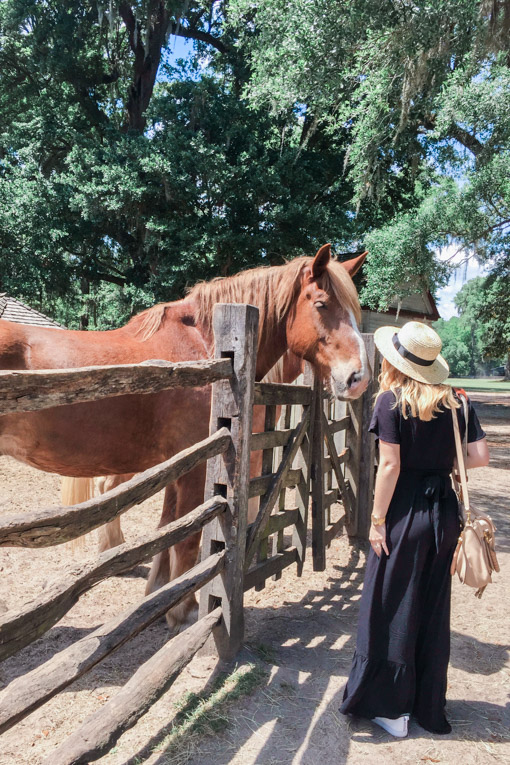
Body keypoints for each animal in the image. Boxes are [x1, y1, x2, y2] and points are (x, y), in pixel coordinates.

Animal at [0, 243, 366, 628]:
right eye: (321, 304)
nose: (358, 377)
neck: (211, 348)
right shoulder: (197, 469)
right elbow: (187, 539)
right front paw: (183, 610)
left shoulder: (176, 469)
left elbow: (168, 530)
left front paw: (159, 595)